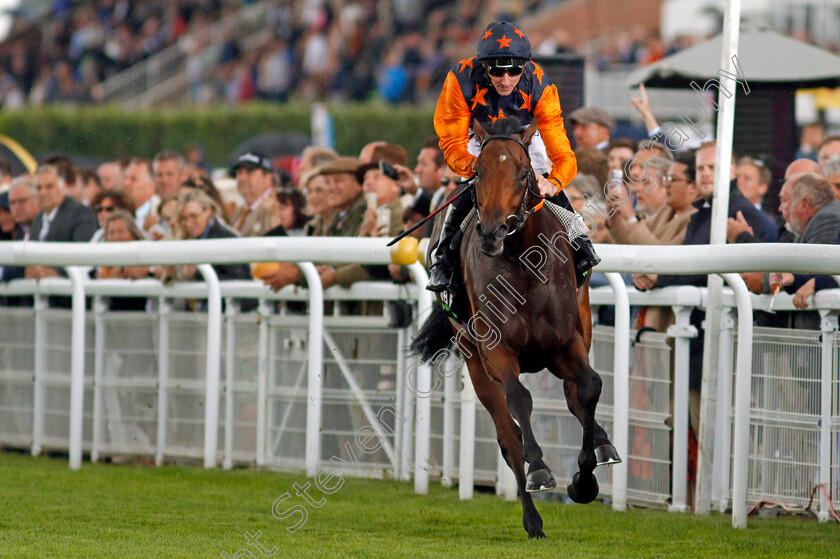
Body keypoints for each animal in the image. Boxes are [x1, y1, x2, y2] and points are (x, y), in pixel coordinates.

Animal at [412, 117, 616, 540]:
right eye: (478, 173)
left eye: (524, 174)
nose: (491, 233)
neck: (523, 263)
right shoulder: (497, 350)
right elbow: (520, 403)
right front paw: (540, 470)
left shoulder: (566, 342)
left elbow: (590, 386)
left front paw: (584, 481)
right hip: (472, 355)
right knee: (508, 435)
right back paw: (533, 519)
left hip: (582, 326)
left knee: (575, 394)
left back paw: (604, 446)